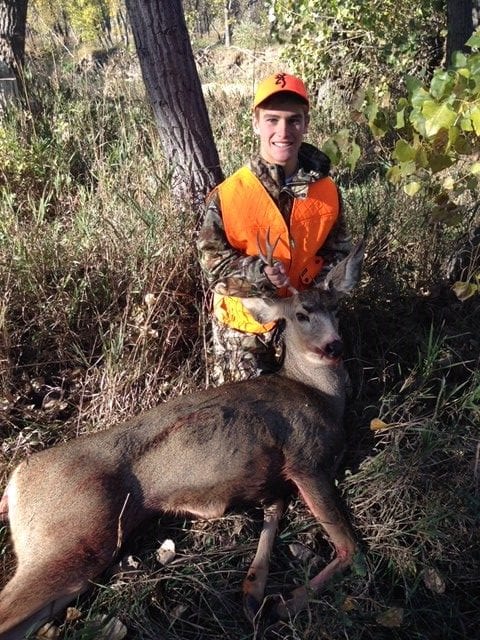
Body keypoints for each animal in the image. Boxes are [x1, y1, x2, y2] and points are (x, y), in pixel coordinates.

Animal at [0, 240, 364, 640]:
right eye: (302, 314)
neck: (319, 395)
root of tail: (15, 482)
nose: (334, 347)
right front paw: (284, 605)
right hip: (72, 535)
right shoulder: (306, 460)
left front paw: (253, 595)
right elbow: (350, 548)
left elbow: (272, 519)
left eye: (337, 308)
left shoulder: (276, 482)